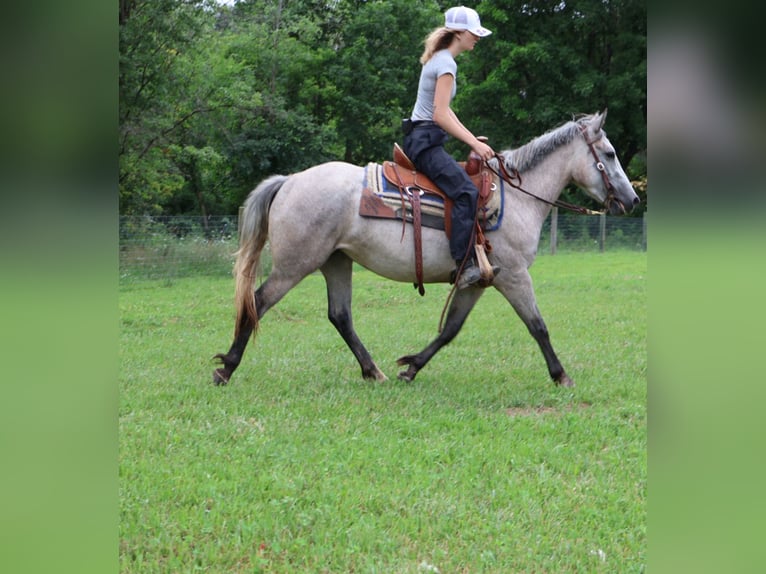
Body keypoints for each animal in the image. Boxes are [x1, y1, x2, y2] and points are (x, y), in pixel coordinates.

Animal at [213, 110, 640, 387]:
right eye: (609, 154)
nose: (633, 200)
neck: (516, 197)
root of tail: (289, 181)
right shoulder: (515, 276)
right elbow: (538, 326)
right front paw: (561, 375)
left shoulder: (478, 280)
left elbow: (450, 329)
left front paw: (411, 366)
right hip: (295, 265)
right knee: (257, 301)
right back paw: (226, 368)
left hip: (335, 262)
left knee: (340, 316)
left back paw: (373, 372)